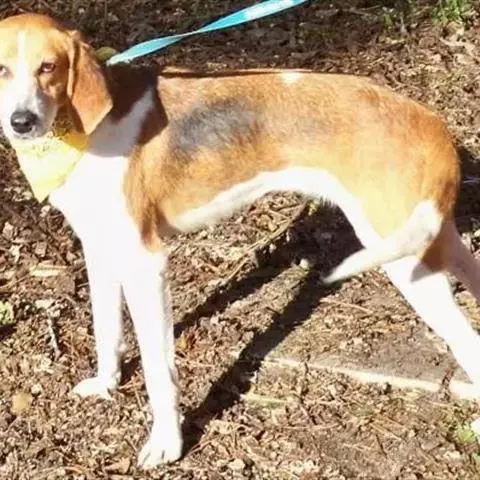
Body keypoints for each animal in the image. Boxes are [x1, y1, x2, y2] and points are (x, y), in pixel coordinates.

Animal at [1, 12, 480, 469]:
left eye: (49, 67)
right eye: (3, 69)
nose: (21, 122)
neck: (80, 134)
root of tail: (427, 118)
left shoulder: (145, 263)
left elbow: (159, 370)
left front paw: (167, 443)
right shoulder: (100, 253)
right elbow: (106, 330)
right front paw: (106, 384)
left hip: (403, 255)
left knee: (466, 341)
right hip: (432, 239)